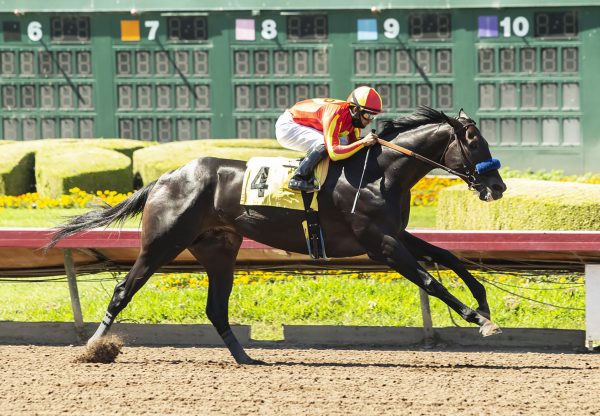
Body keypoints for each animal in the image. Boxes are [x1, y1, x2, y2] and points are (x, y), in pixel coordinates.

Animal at [48, 106, 506, 364]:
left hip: (218, 250)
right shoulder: (382, 244)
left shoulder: (395, 234)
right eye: (474, 143)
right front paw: (479, 319)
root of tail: (164, 177)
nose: (497, 187)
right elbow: (430, 280)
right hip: (162, 243)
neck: (380, 172)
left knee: (216, 308)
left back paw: (247, 358)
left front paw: (484, 304)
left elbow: (450, 257)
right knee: (122, 291)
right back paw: (93, 347)